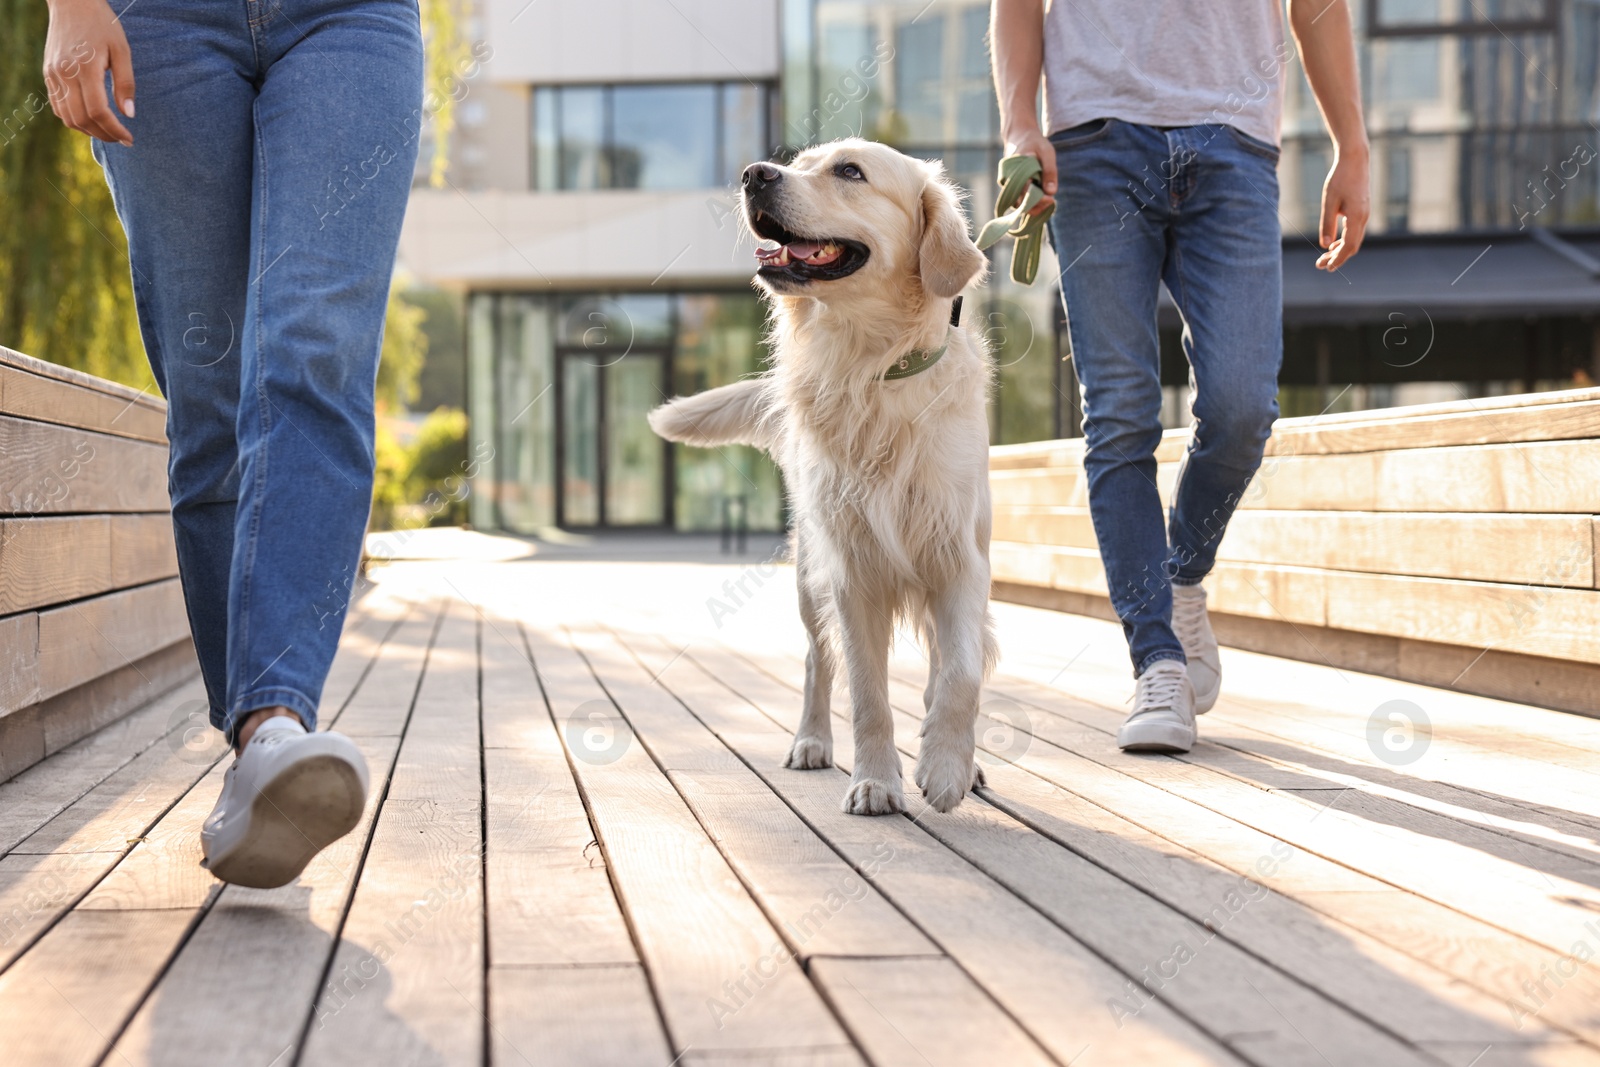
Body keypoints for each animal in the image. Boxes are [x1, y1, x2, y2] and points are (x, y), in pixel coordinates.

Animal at [643, 137, 992, 812]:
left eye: (850, 171)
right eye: (797, 162)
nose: (754, 174)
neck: (871, 368)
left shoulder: (959, 559)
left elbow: (960, 671)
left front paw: (945, 765)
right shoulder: (852, 570)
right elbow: (868, 693)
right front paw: (876, 780)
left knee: (940, 662)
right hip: (811, 574)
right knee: (815, 661)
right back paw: (810, 742)